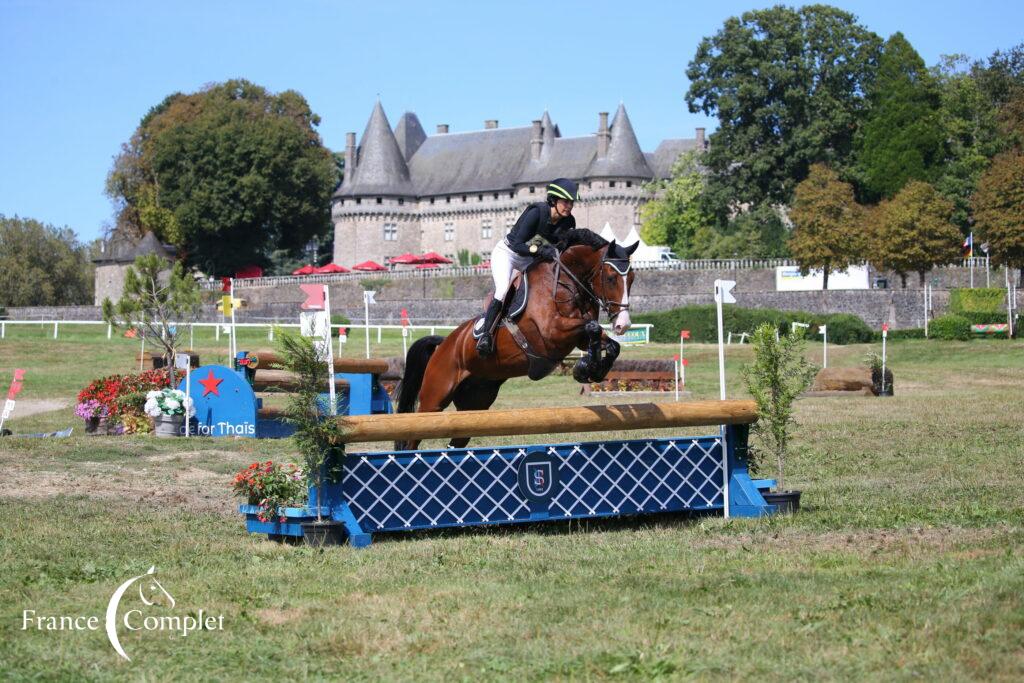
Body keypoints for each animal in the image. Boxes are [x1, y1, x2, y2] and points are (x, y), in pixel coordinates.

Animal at [395, 237, 634, 450]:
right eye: (611, 278)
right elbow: (592, 326)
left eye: (631, 279)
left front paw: (591, 369)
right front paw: (584, 368)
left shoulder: (578, 338)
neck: (564, 284)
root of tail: (444, 344)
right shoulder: (552, 332)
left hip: (476, 401)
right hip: (435, 397)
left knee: (457, 440)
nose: (623, 325)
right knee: (413, 438)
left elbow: (607, 341)